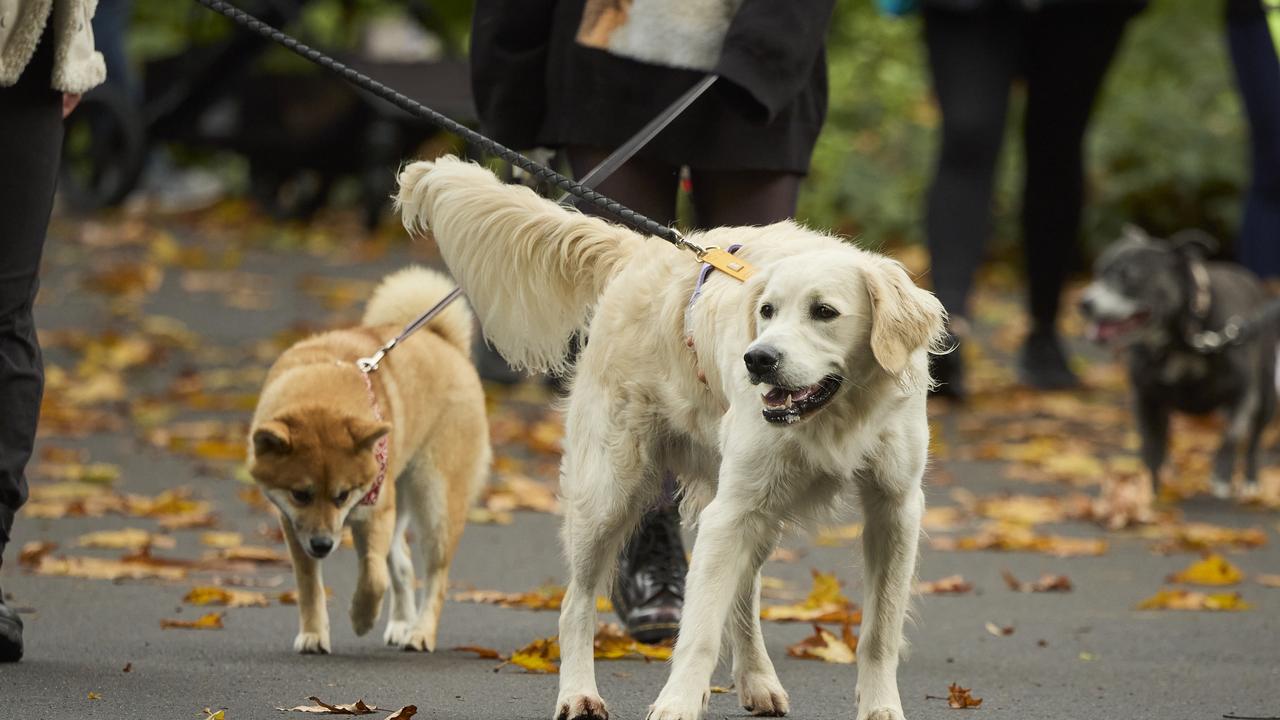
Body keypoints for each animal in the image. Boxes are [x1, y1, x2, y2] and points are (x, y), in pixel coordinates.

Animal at [248, 266, 488, 653]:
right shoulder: (293, 524)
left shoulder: (374, 514)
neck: (324, 385)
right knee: (403, 564)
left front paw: (361, 618)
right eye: (300, 495)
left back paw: (420, 632)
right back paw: (402, 624)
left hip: (434, 504)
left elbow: (374, 579)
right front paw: (314, 633)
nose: (322, 545)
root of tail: (443, 341)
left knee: (435, 577)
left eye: (342, 495)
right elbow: (308, 586)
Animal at [394, 156, 947, 717]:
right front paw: (678, 703)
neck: (841, 413)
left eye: (825, 312)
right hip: (612, 492)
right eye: (766, 311)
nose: (757, 360)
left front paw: (881, 708)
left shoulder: (894, 509)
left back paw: (757, 680)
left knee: (742, 596)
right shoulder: (730, 513)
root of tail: (642, 248)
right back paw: (578, 693)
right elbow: (697, 631)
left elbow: (878, 632)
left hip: (750, 506)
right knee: (576, 604)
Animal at [1080, 226, 1269, 497]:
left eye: (1129, 276)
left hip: (1267, 398)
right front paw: (1148, 491)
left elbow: (1231, 437)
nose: (1084, 303)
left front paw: (1221, 476)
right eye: (1098, 272)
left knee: (1253, 441)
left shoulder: (1244, 393)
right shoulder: (1146, 399)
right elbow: (1151, 448)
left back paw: (1250, 481)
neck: (1181, 341)